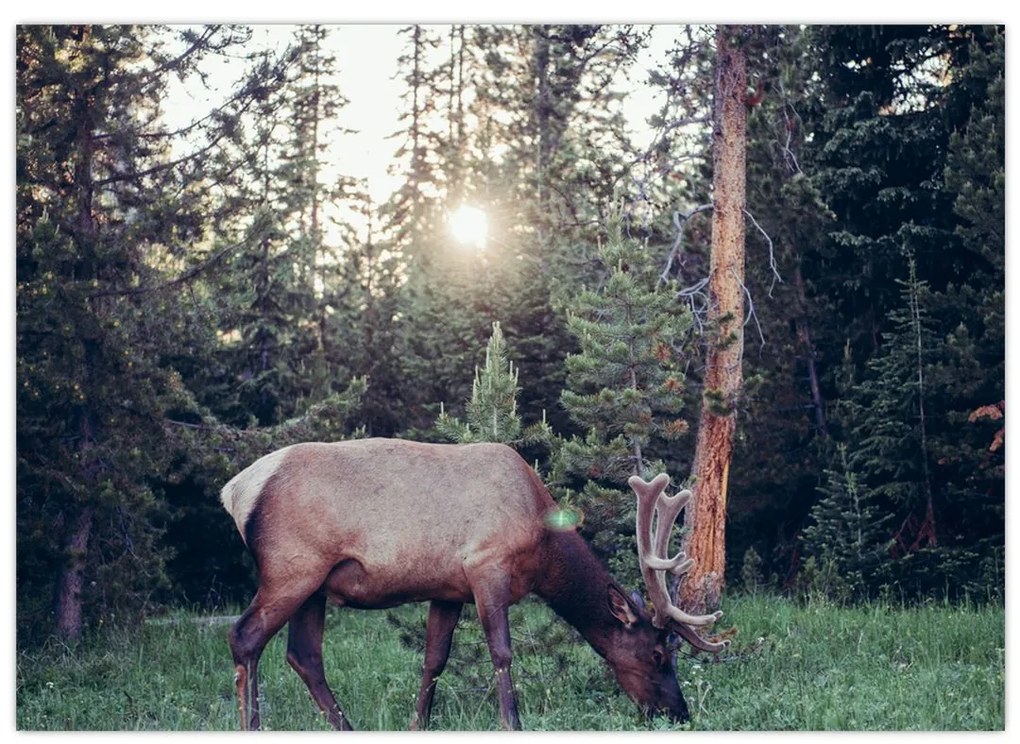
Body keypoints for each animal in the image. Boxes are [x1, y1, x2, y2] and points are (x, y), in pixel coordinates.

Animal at [220, 438, 726, 726]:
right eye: (658, 654)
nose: (679, 714)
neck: (541, 540)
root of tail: (234, 490)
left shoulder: (448, 590)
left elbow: (434, 661)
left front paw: (418, 726)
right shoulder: (487, 565)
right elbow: (502, 653)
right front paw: (512, 724)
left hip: (316, 585)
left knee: (304, 656)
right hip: (292, 567)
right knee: (245, 637)